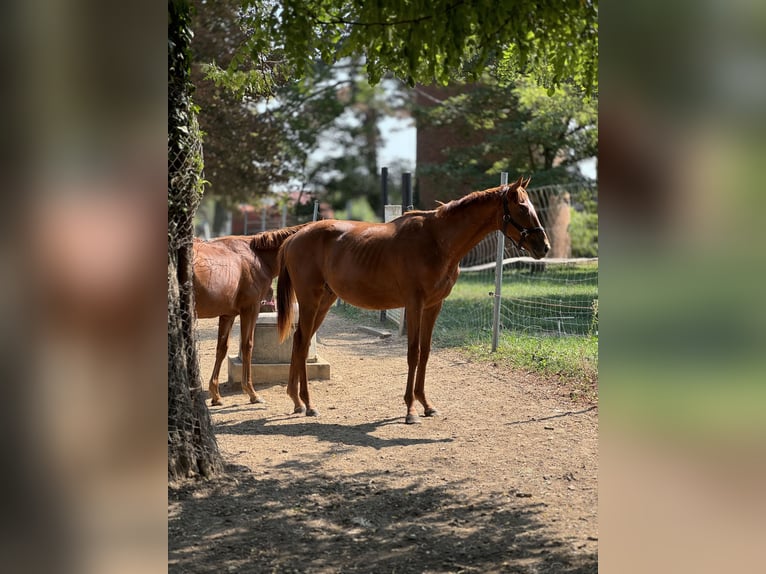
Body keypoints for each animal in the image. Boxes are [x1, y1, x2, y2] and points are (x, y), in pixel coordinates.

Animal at [194, 223, 310, 408]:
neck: (256, 257)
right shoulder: (250, 309)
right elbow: (247, 345)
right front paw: (252, 392)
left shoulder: (227, 314)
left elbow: (222, 348)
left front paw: (216, 395)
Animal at [280, 176, 548, 424]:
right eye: (522, 208)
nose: (544, 247)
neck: (437, 240)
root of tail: (294, 237)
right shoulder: (414, 305)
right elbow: (413, 352)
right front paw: (410, 410)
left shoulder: (433, 306)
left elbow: (425, 353)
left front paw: (426, 404)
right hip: (310, 301)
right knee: (302, 344)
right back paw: (308, 403)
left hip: (325, 301)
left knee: (299, 340)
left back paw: (296, 401)